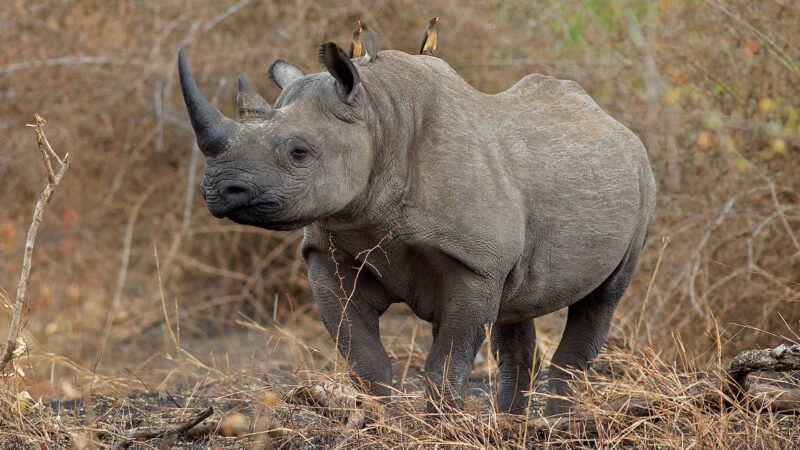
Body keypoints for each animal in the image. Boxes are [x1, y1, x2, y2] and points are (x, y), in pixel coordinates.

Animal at [177, 42, 656, 416]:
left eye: (299, 152)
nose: (220, 189)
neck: (379, 116)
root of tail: (614, 122)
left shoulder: (473, 264)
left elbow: (447, 360)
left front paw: (442, 426)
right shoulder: (329, 252)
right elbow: (363, 356)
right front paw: (383, 422)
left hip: (643, 177)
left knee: (604, 297)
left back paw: (555, 425)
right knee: (516, 304)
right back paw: (510, 426)